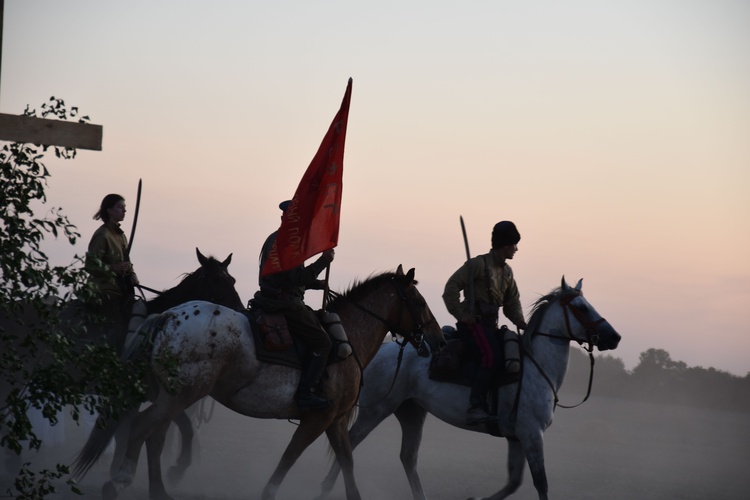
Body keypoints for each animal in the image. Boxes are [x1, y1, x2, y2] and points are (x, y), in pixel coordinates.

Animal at [72, 268, 446, 500]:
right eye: (419, 302)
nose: (438, 339)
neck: (346, 340)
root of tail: (167, 316)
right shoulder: (318, 419)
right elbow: (289, 457)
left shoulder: (336, 421)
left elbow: (347, 462)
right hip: (182, 395)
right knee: (141, 428)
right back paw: (119, 482)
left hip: (174, 397)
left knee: (155, 434)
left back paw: (159, 491)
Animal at [318, 278, 624, 500]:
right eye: (582, 307)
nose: (614, 337)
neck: (537, 368)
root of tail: (380, 351)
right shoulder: (532, 434)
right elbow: (541, 484)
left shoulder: (517, 438)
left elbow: (514, 483)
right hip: (377, 411)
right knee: (349, 446)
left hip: (412, 412)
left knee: (408, 458)